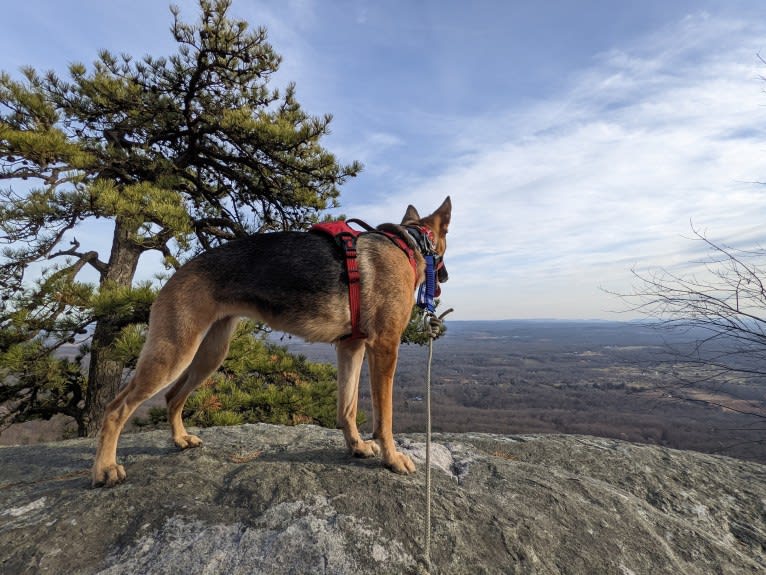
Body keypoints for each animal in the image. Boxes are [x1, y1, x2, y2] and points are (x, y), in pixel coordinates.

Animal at [91, 197, 452, 486]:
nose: (444, 279)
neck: (409, 242)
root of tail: (175, 274)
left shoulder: (351, 347)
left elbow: (347, 407)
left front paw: (357, 446)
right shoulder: (385, 347)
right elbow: (384, 417)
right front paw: (392, 458)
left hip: (208, 354)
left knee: (172, 397)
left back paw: (180, 439)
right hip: (174, 353)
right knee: (115, 408)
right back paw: (105, 468)